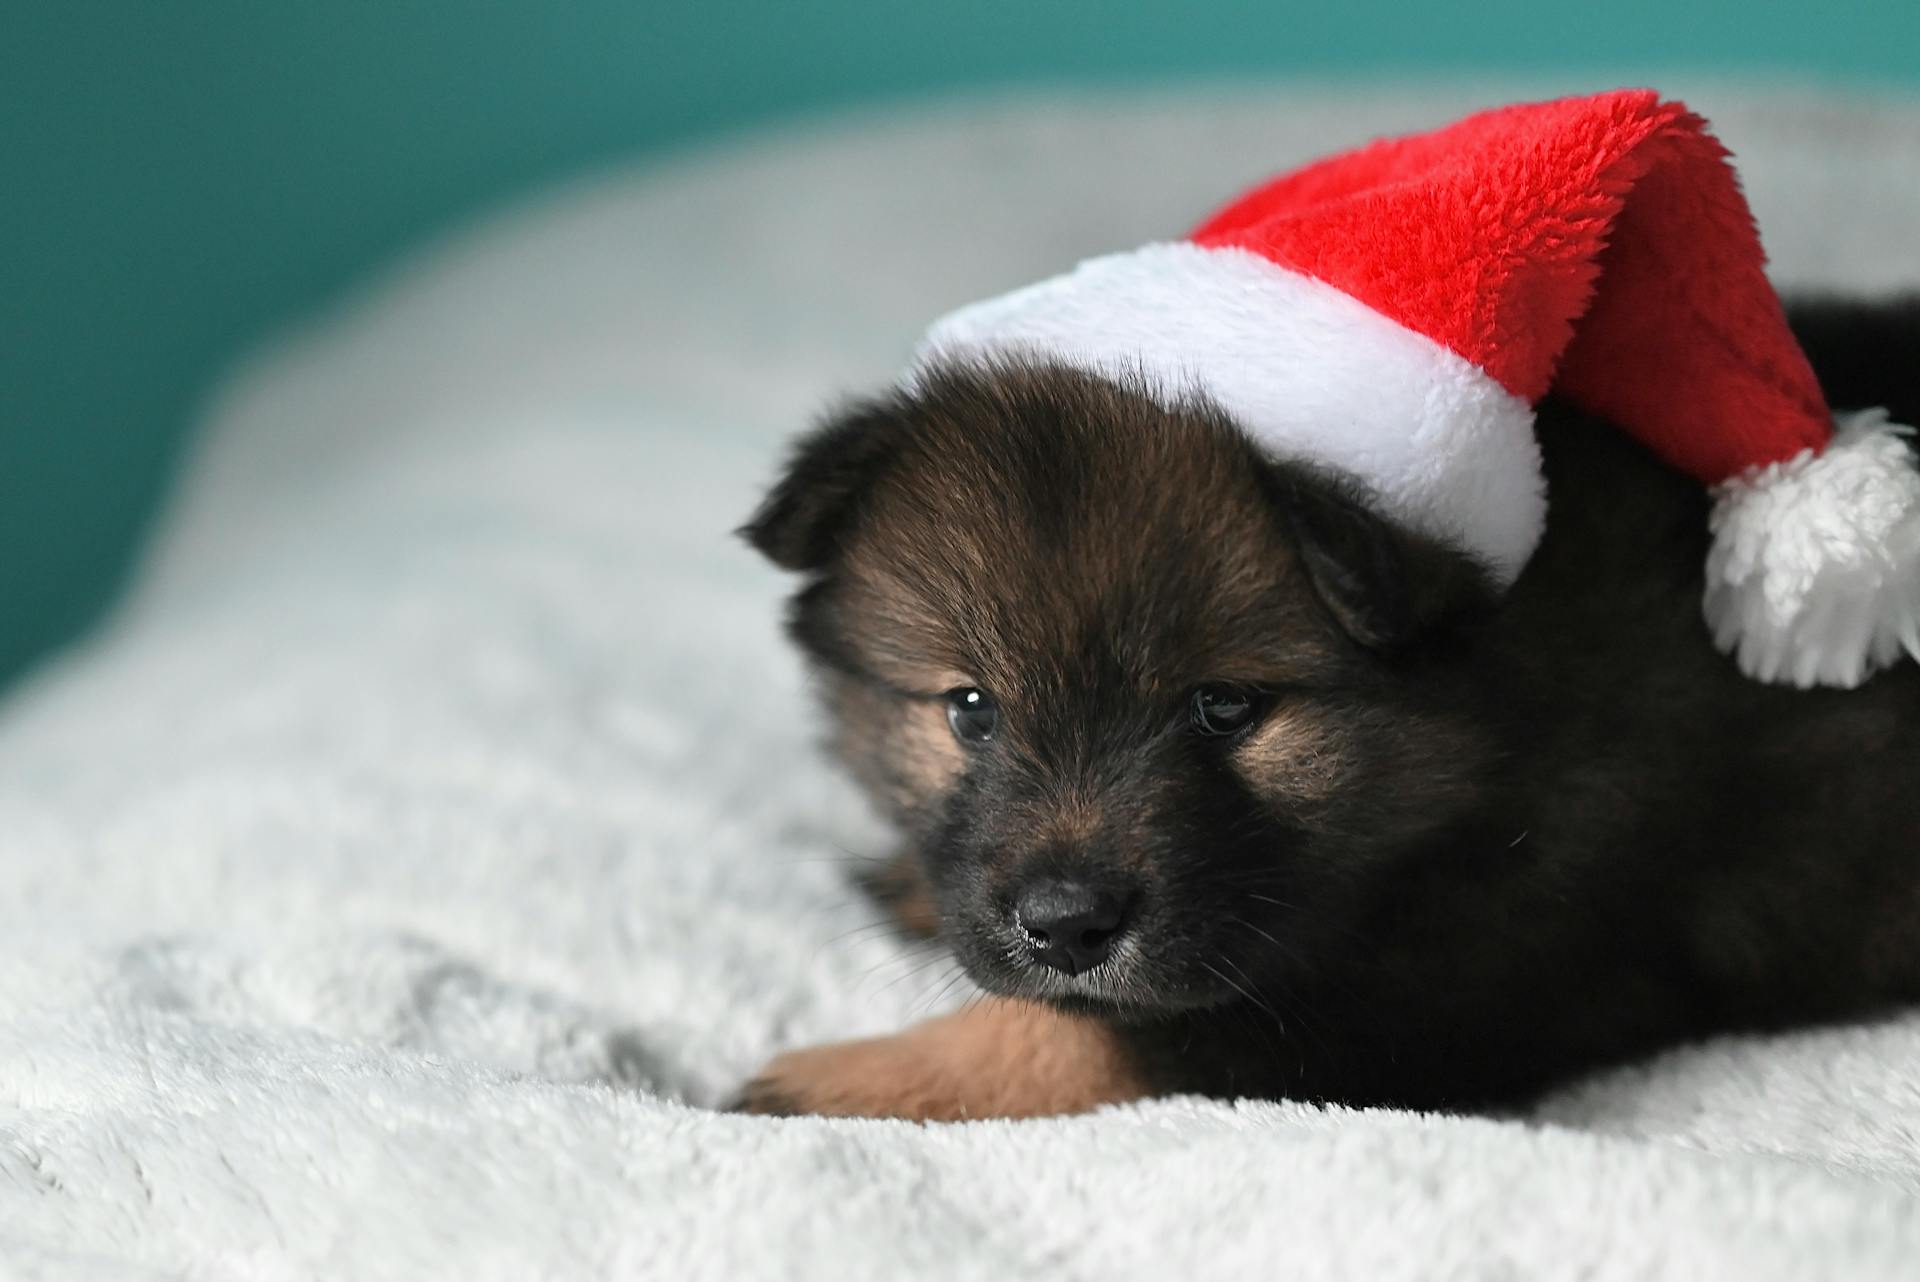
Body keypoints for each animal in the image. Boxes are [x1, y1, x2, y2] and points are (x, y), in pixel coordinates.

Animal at [729, 295, 1920, 1113]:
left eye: (1224, 708)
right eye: (970, 708)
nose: (1066, 925)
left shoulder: (1433, 990)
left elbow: (1098, 1033)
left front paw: (846, 1078)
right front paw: (911, 888)